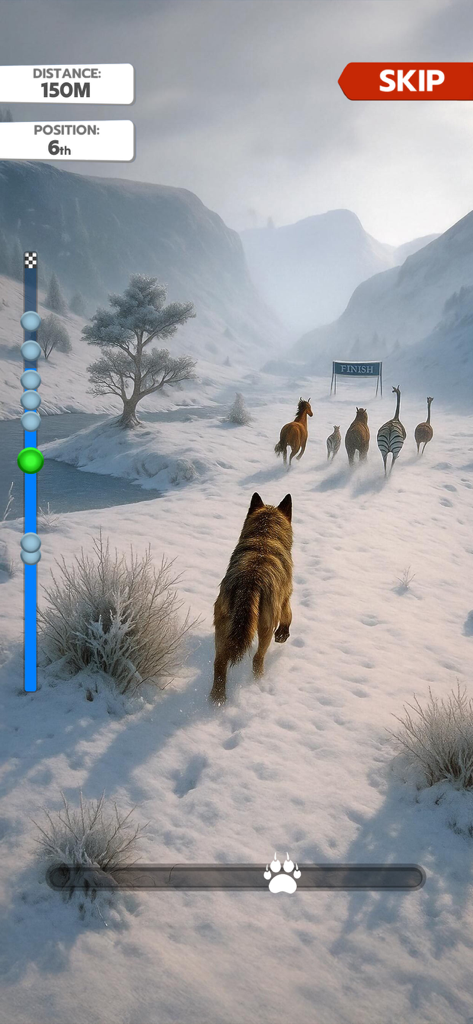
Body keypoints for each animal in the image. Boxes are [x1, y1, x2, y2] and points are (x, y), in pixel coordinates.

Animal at [210, 492, 293, 704]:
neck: (264, 536)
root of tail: (250, 581)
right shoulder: (285, 595)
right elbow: (288, 614)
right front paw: (283, 635)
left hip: (222, 626)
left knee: (219, 663)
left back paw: (217, 699)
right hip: (265, 626)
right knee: (257, 658)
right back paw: (258, 681)